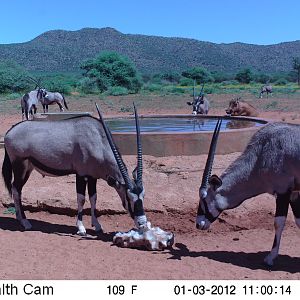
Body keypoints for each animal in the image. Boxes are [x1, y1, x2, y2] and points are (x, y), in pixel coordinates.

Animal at [196, 119, 300, 268]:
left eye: (204, 199)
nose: (198, 224)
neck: (261, 153)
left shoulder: (283, 191)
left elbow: (278, 222)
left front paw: (270, 258)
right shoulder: (293, 194)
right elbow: (298, 221)